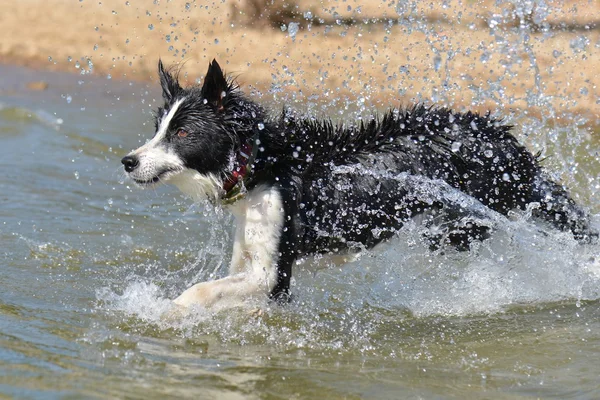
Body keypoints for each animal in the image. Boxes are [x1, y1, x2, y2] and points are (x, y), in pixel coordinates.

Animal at [120, 59, 596, 310]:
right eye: (158, 128)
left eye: (182, 133)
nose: (128, 161)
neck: (263, 161)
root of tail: (499, 136)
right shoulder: (251, 258)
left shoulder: (274, 270)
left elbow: (201, 291)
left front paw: (165, 313)